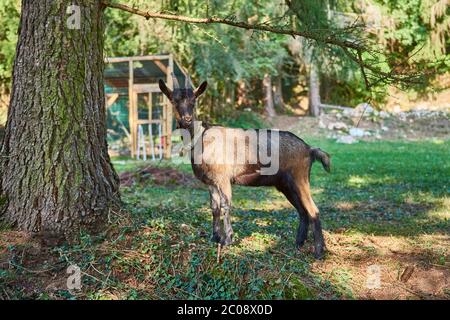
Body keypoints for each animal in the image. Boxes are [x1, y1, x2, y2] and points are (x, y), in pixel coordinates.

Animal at [159, 75, 330, 260]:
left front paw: (227, 240)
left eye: (193, 101)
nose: (187, 120)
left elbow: (226, 205)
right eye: (174, 100)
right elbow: (214, 208)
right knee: (303, 211)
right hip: (286, 184)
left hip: (300, 178)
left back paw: (319, 252)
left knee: (313, 210)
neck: (201, 138)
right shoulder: (211, 182)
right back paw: (298, 244)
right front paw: (215, 237)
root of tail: (309, 149)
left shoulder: (223, 179)